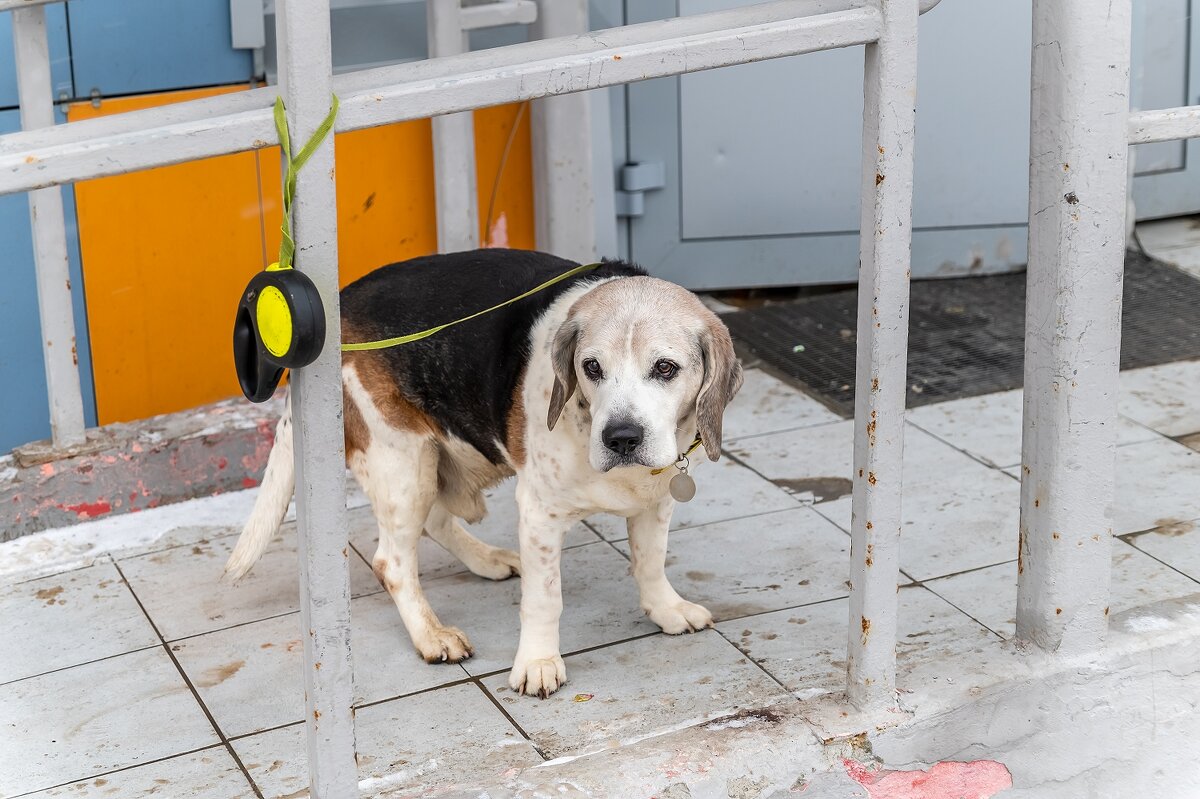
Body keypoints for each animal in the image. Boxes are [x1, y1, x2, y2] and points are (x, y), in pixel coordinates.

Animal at [219, 245, 734, 695]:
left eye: (665, 368)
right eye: (591, 367)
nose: (621, 437)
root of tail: (340, 307)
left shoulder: (656, 501)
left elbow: (650, 562)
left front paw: (666, 609)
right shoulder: (540, 514)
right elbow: (545, 598)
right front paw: (539, 662)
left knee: (436, 521)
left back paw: (488, 560)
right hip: (405, 461)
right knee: (392, 562)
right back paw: (431, 636)